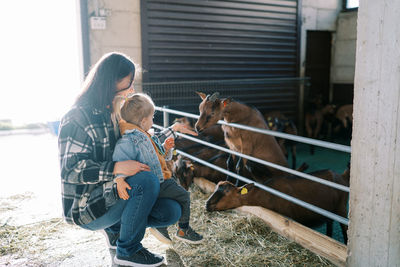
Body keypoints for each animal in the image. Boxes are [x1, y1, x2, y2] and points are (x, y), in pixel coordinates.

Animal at [206, 170, 350, 245]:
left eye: (227, 192)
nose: (207, 204)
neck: (269, 194)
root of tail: (342, 176)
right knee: (330, 223)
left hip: (341, 208)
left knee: (345, 229)